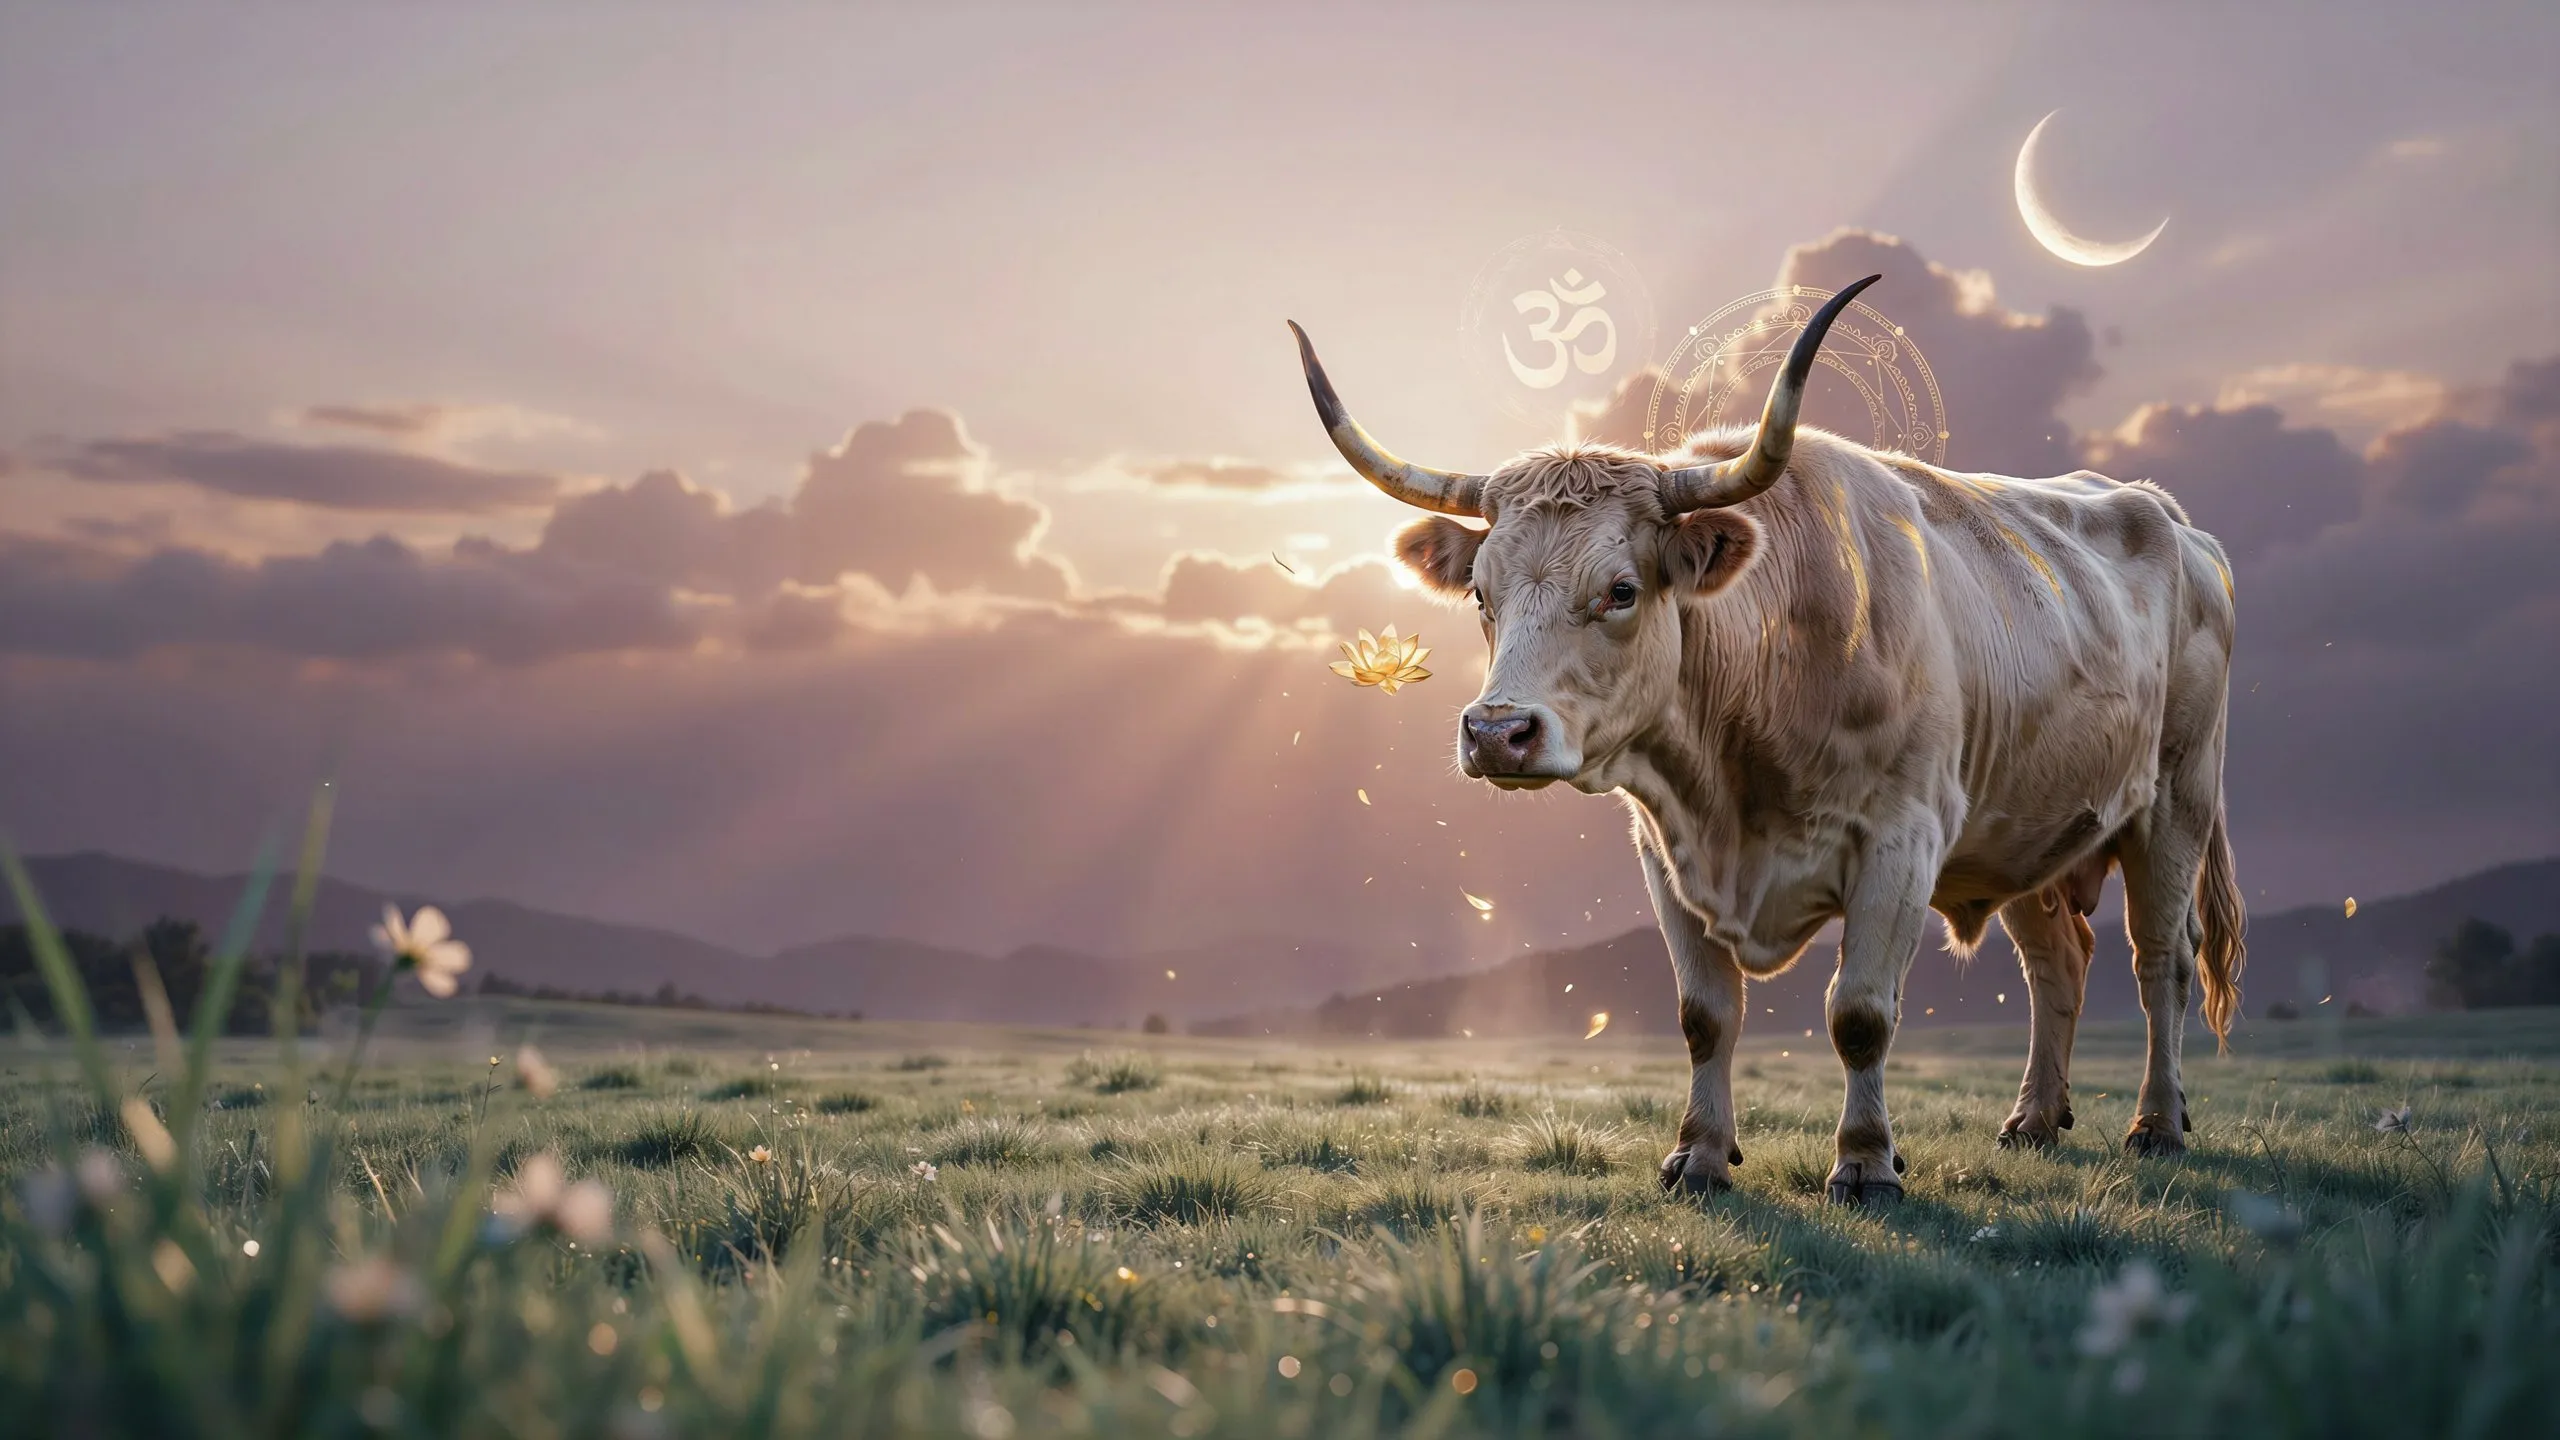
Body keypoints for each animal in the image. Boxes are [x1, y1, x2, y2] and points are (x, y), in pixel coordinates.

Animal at [1288, 276, 2244, 1204]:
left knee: (2162, 961)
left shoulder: (1902, 842)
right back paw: (2035, 1120)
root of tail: (2174, 521)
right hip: (2024, 833)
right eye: (1482, 594)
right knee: (2059, 965)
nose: (1497, 732)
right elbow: (1705, 1016)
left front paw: (1866, 1164)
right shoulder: (1667, 853)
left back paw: (2157, 1124)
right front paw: (1701, 1157)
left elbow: (1860, 1014)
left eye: (1621, 589)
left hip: (2176, 803)